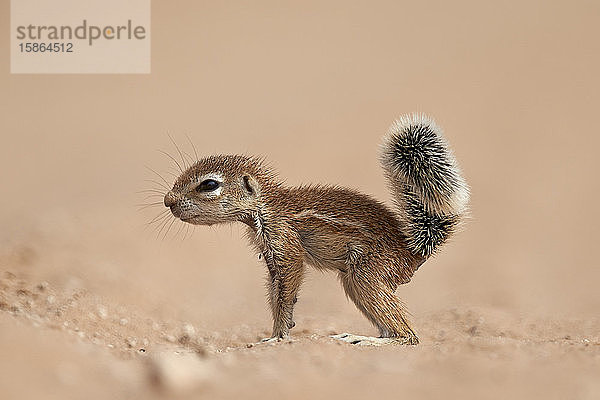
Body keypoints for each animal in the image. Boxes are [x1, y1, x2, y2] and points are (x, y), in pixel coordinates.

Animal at [163, 114, 468, 346]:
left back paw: (364, 339)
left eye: (209, 185)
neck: (267, 206)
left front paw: (277, 338)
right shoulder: (271, 258)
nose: (168, 200)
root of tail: (413, 250)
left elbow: (285, 294)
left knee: (409, 337)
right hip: (355, 282)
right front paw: (277, 333)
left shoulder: (286, 247)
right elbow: (276, 296)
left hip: (366, 276)